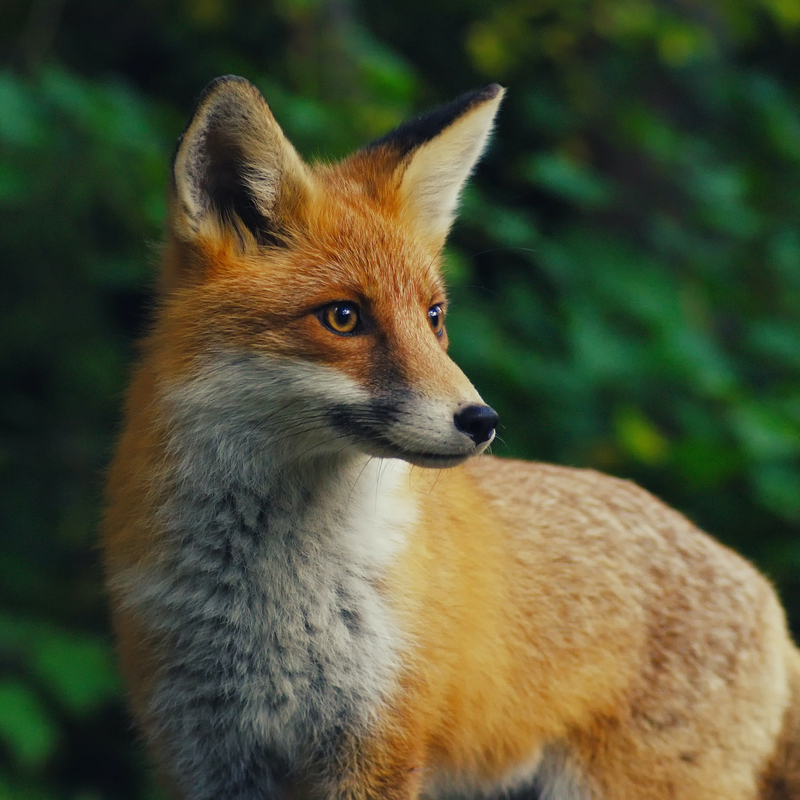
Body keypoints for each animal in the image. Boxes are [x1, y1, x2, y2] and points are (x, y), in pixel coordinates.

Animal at [102, 75, 800, 800]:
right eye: (343, 318)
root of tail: (765, 595)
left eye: (434, 316)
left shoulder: (380, 744)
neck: (271, 602)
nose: (482, 419)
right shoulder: (209, 755)